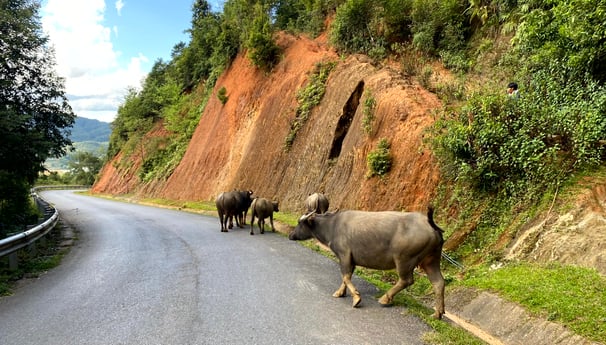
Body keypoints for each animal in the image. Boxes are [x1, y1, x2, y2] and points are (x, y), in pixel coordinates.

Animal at [290, 206, 446, 318]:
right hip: (431, 260)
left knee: (406, 280)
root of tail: (430, 224)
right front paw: (340, 292)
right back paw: (437, 313)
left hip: (404, 260)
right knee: (438, 282)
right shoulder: (351, 259)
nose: (291, 235)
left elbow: (345, 276)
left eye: (299, 223)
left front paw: (356, 298)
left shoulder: (344, 255)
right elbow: (347, 276)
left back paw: (385, 298)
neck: (332, 226)